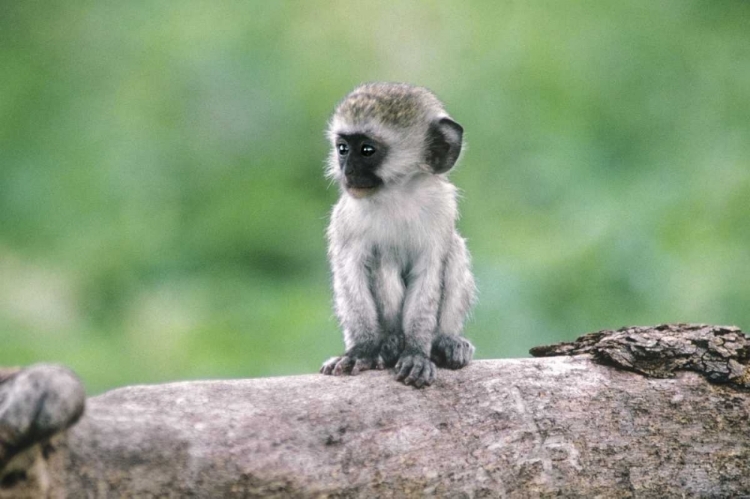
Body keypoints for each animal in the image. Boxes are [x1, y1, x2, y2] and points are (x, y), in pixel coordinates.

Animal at [322, 82, 476, 388]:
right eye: (343, 149)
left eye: (367, 150)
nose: (348, 171)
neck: (397, 194)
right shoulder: (346, 219)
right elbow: (350, 273)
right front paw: (361, 350)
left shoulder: (441, 211)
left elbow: (429, 272)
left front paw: (416, 353)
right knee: (383, 258)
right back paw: (389, 343)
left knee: (454, 250)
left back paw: (444, 342)